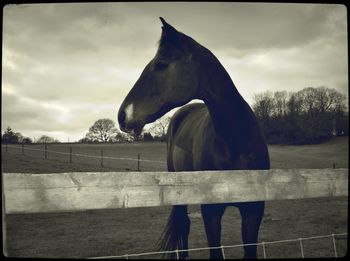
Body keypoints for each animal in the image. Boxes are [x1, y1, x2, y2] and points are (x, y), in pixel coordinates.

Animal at [118, 17, 270, 258]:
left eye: (161, 63)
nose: (122, 115)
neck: (236, 144)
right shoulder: (211, 212)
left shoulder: (254, 211)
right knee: (183, 223)